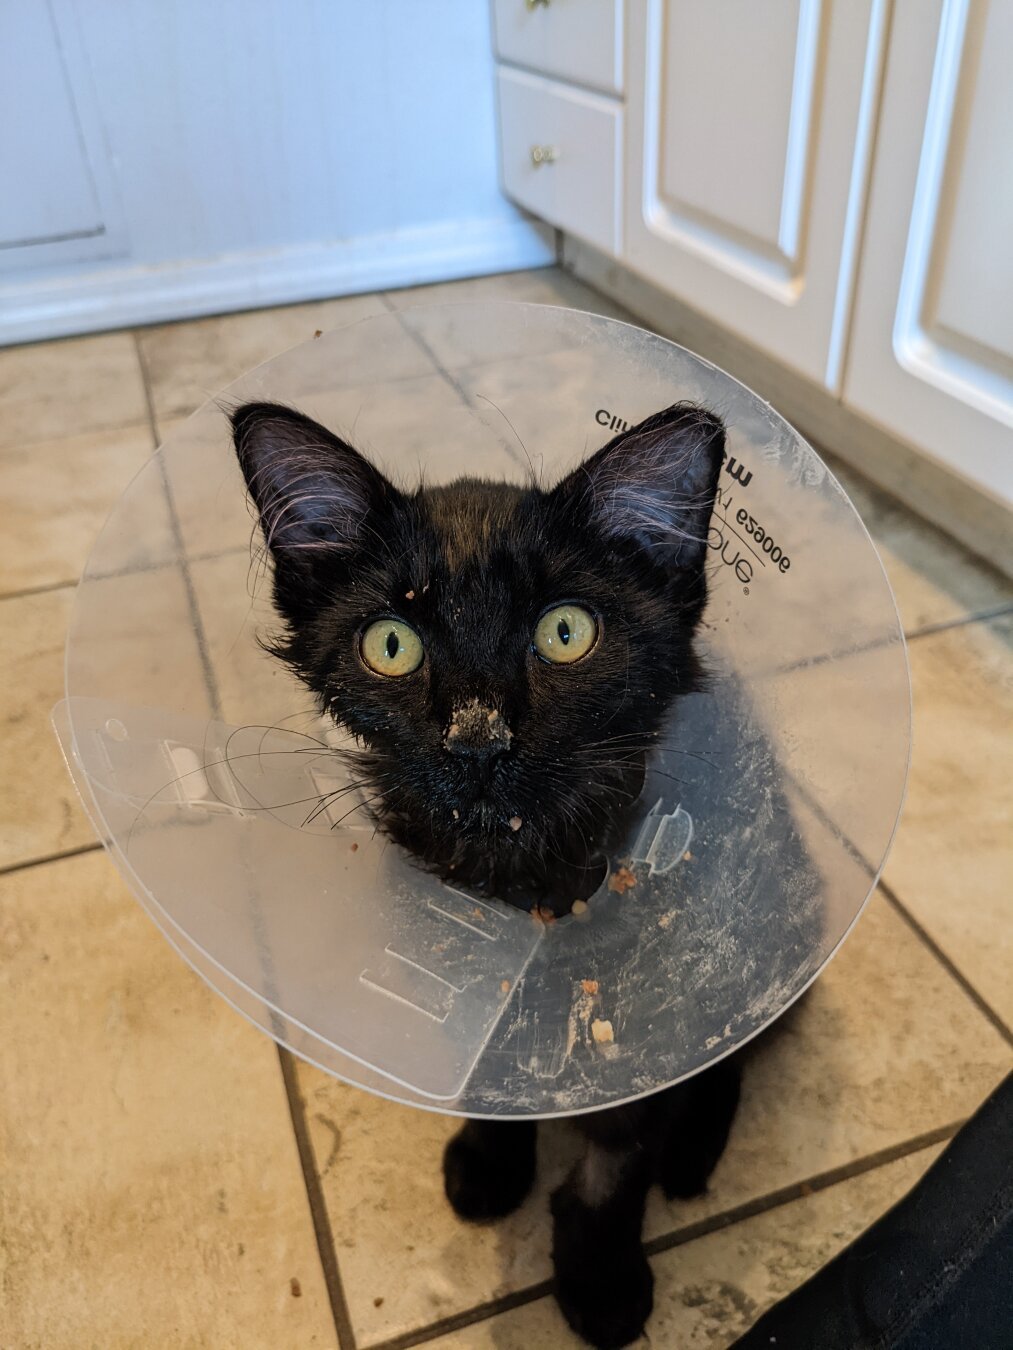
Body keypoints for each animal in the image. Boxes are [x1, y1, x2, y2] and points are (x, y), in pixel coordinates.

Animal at [233, 394, 740, 1344]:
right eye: (391, 644)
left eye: (564, 633)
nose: (477, 739)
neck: (525, 877)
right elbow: (488, 1079)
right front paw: (491, 1165)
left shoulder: (646, 1011)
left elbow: (619, 1155)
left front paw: (600, 1280)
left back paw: (693, 1157)